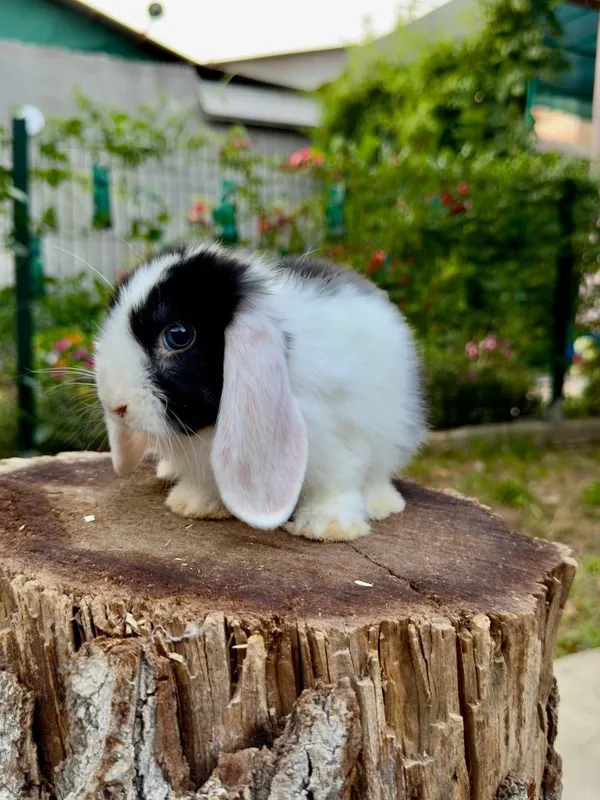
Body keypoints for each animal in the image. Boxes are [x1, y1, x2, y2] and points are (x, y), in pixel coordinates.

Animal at [94, 243, 426, 541]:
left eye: (178, 335)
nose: (116, 406)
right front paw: (193, 504)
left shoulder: (342, 438)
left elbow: (337, 482)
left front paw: (327, 527)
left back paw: (382, 504)